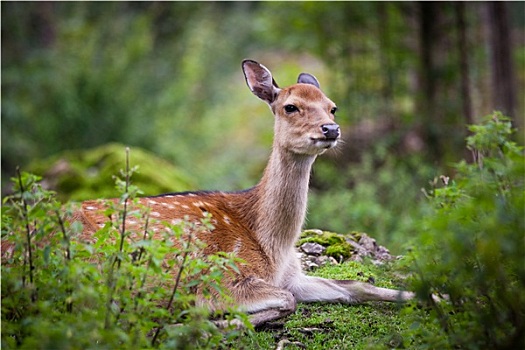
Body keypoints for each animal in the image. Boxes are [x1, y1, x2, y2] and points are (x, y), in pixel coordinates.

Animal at [70, 59, 414, 326]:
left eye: (333, 107)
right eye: (290, 107)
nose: (331, 129)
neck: (274, 246)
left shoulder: (294, 276)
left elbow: (355, 285)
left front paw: (422, 294)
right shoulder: (221, 278)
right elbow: (286, 300)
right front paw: (215, 320)